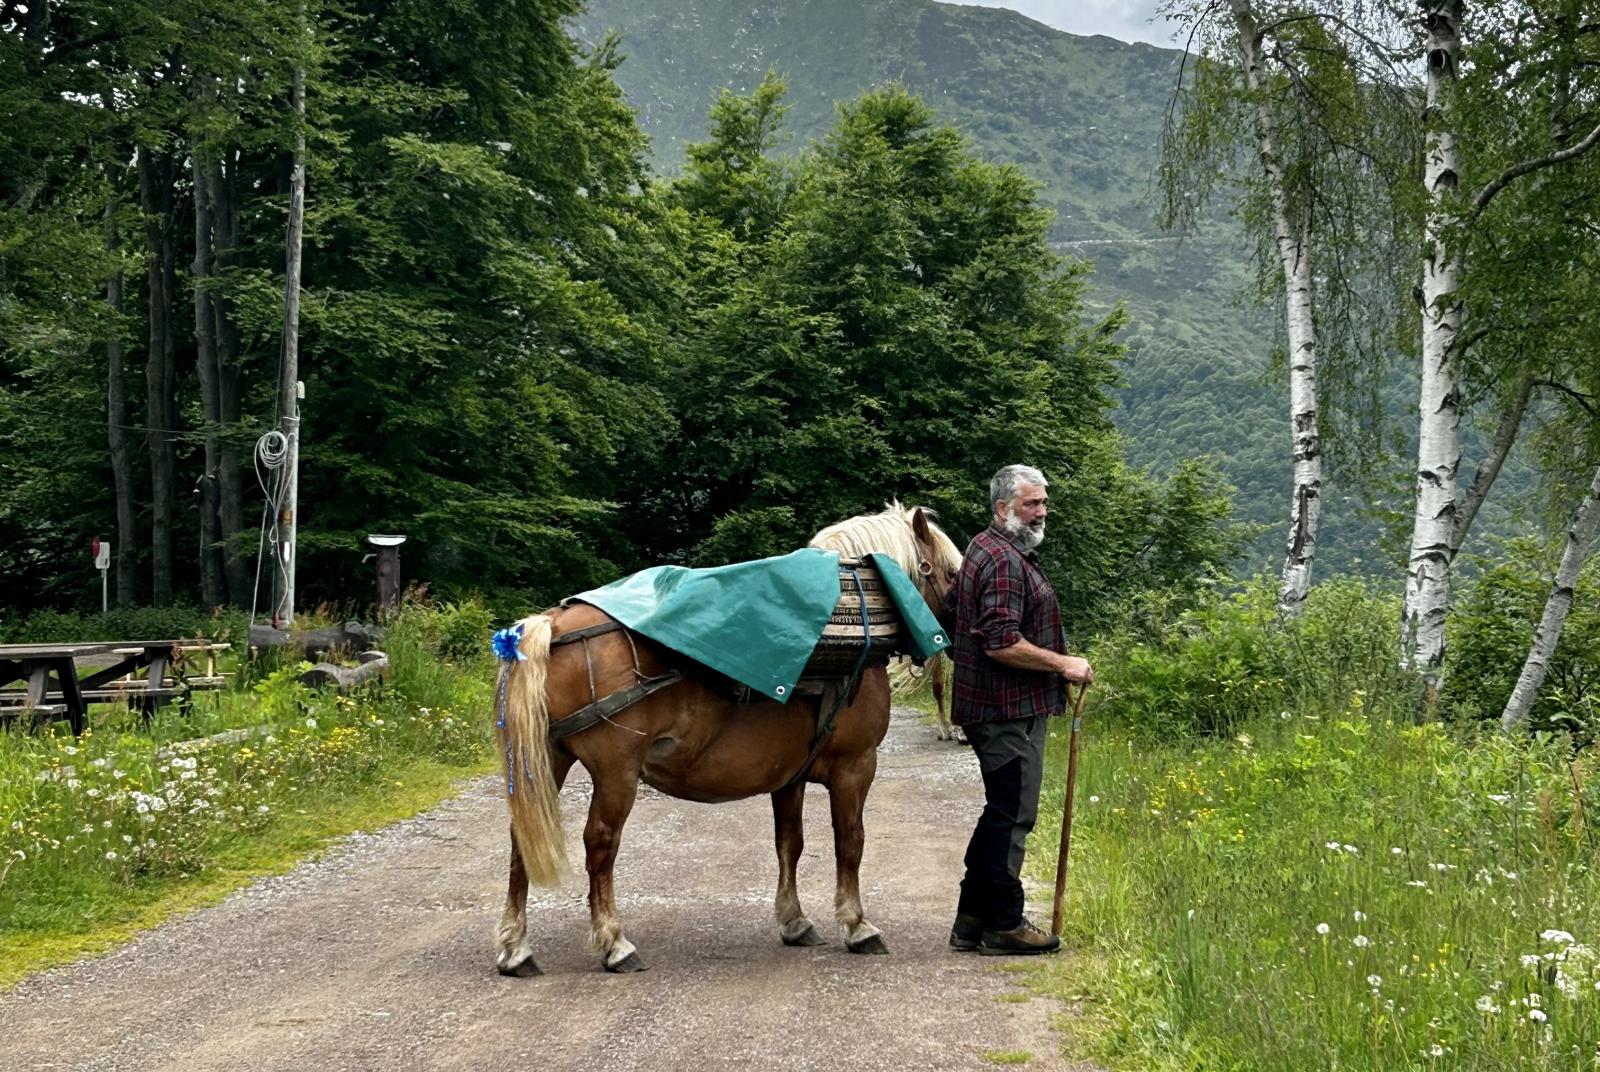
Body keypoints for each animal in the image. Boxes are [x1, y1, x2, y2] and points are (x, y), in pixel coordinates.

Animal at [492, 505, 953, 972]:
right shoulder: (855, 766)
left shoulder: (789, 777)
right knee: (600, 843)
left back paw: (515, 947)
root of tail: (549, 625)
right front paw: (857, 925)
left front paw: (794, 920)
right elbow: (850, 842)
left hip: (546, 761)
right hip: (615, 773)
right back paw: (613, 942)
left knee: (521, 841)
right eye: (951, 572)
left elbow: (790, 842)